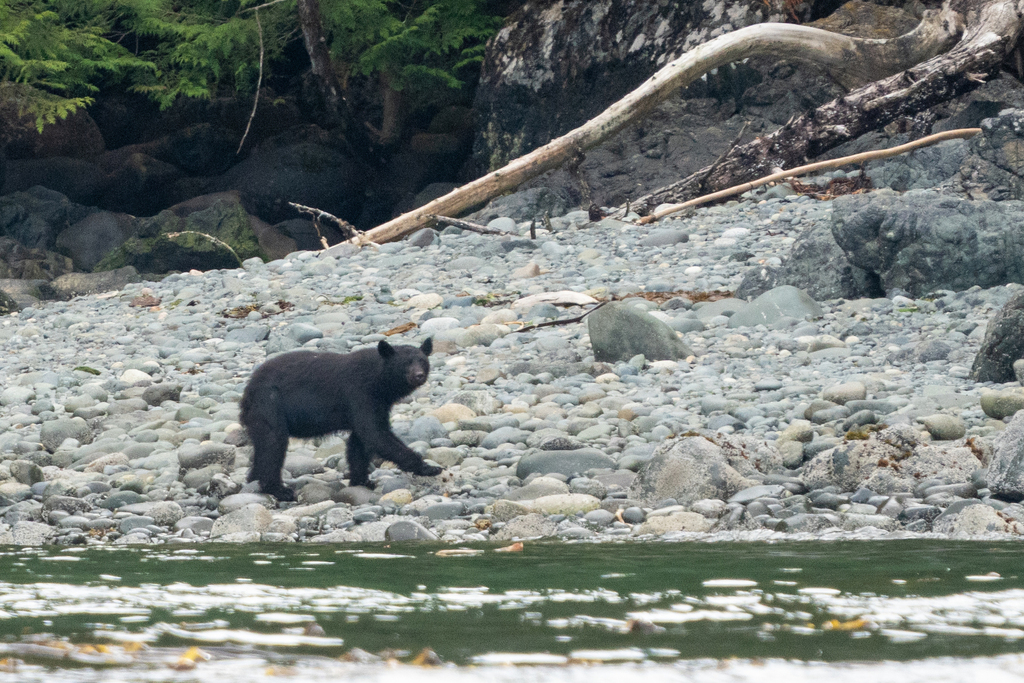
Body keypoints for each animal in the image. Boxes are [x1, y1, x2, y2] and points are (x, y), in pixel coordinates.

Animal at [239, 338, 442, 501]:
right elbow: (375, 434)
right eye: (405, 363)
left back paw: (253, 480)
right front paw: (428, 468)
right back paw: (279, 490)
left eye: (423, 361)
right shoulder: (360, 393)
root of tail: (248, 389)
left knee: (262, 446)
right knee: (273, 443)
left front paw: (362, 481)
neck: (379, 380)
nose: (419, 375)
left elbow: (360, 441)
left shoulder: (377, 403)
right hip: (269, 403)